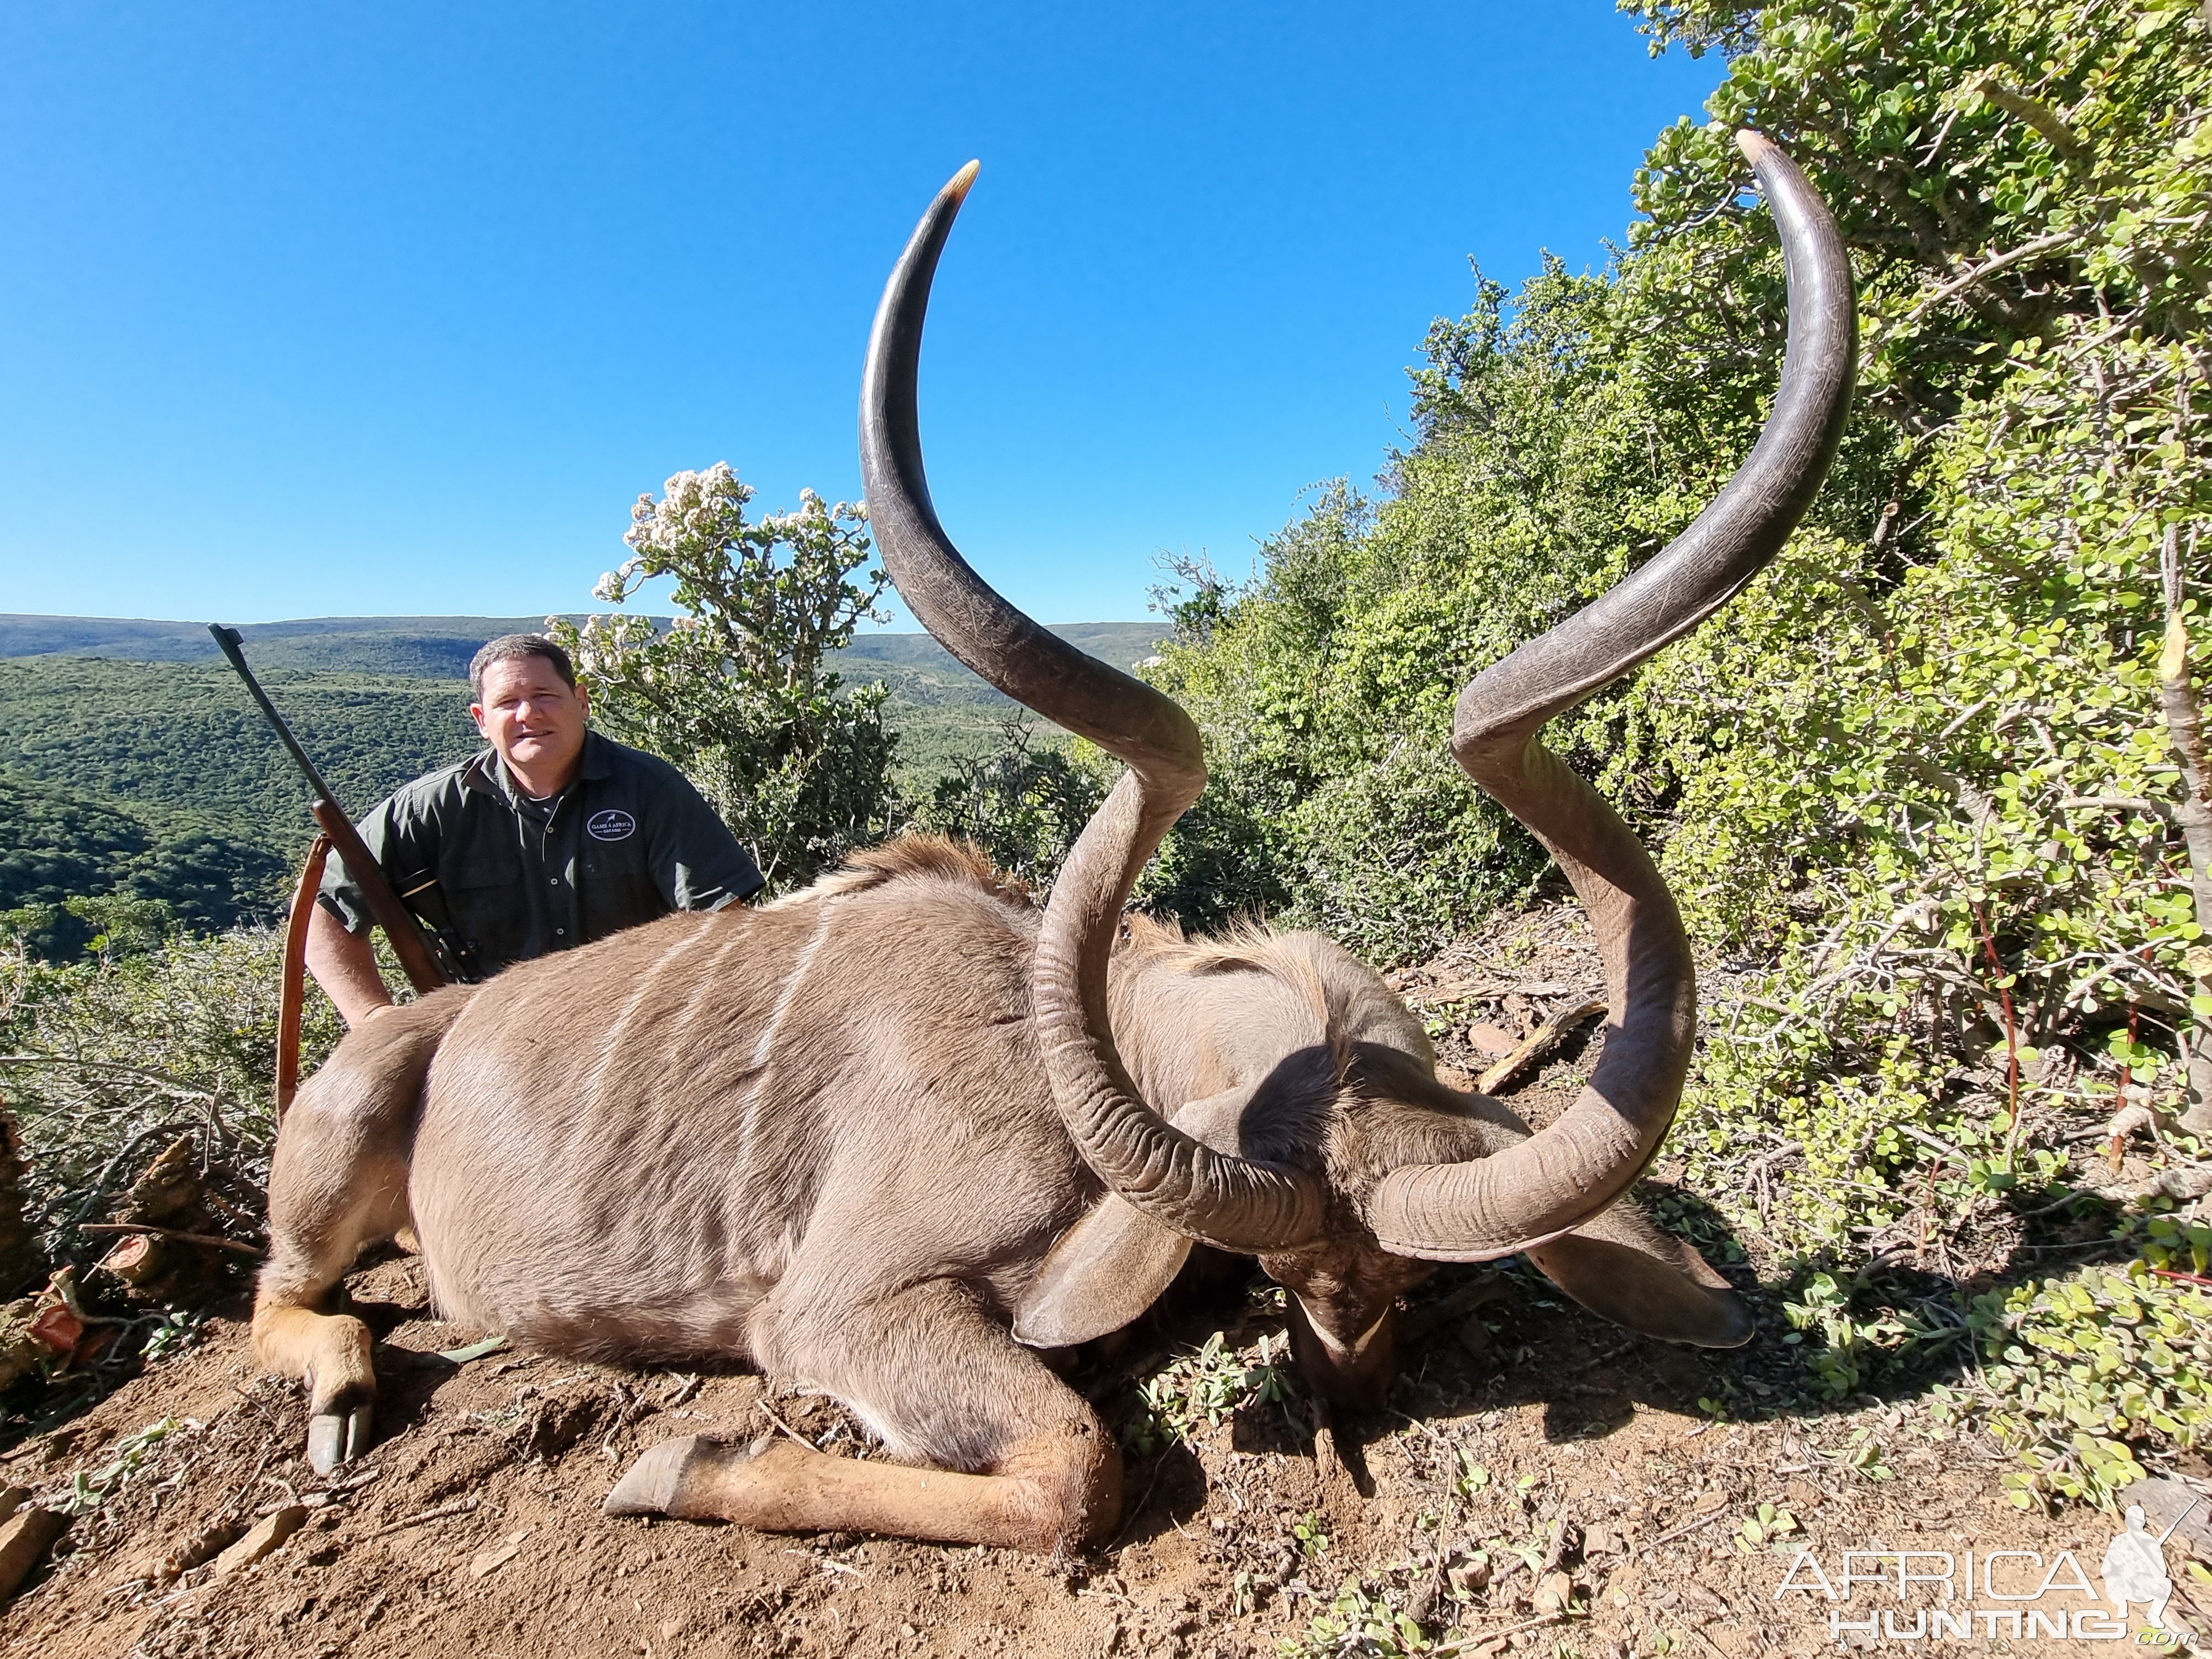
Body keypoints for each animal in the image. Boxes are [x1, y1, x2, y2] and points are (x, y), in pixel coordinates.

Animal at [254, 133, 1849, 1557]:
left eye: (1394, 1280)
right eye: (1277, 1270)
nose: (1348, 1386)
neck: (1062, 1038)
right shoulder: (841, 1306)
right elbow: (1077, 1470)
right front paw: (681, 1461)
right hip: (340, 1144)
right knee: (289, 1295)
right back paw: (340, 1398)